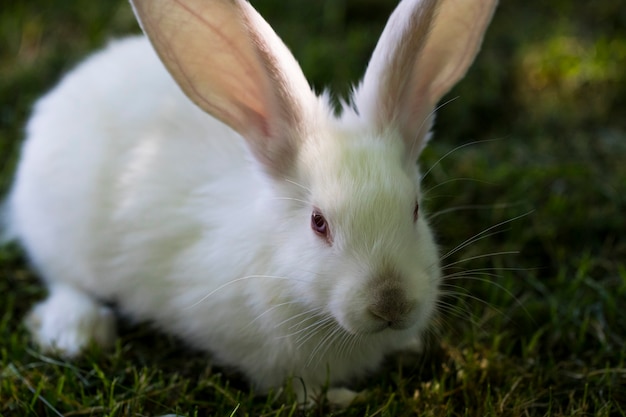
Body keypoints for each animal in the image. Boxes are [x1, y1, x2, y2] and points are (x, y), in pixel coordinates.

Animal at [2, 0, 494, 406]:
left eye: (414, 210)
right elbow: (296, 391)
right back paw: (76, 330)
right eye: (318, 223)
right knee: (65, 280)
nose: (391, 304)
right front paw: (340, 399)